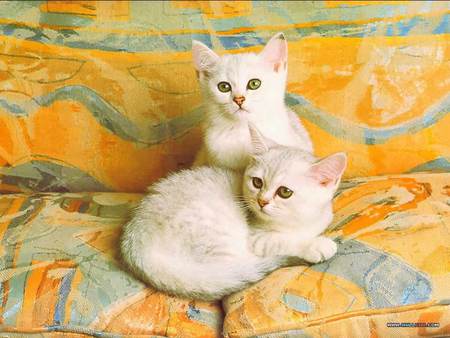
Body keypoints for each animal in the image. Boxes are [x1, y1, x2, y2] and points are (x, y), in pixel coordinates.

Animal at [119, 127, 344, 302]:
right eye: (257, 182)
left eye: (285, 192)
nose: (262, 201)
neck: (298, 222)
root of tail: (136, 246)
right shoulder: (256, 238)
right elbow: (282, 240)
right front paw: (316, 245)